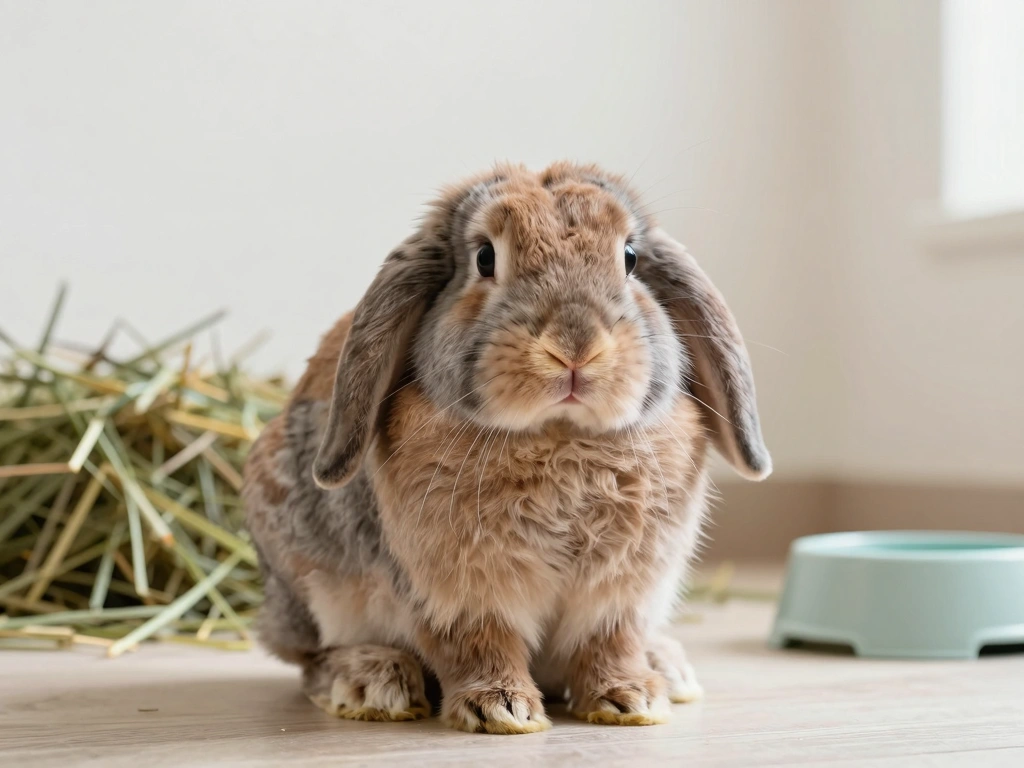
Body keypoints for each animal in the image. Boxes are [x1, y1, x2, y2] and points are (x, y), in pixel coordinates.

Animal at [242, 161, 771, 734]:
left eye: (630, 258)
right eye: (485, 258)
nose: (574, 346)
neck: (560, 437)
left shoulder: (620, 594)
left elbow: (610, 644)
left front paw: (631, 700)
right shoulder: (457, 594)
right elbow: (479, 645)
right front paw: (502, 710)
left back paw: (668, 669)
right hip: (305, 580)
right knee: (312, 658)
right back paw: (372, 683)